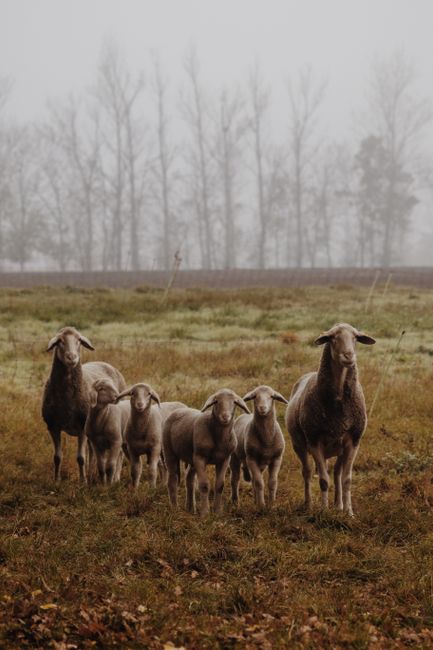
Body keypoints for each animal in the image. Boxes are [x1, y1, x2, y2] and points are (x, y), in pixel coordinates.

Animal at [41, 326, 126, 482]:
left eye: (79, 340)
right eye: (60, 341)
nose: (72, 357)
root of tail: (106, 363)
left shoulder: (81, 427)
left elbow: (81, 458)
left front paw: (82, 481)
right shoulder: (52, 426)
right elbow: (57, 457)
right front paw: (57, 481)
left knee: (119, 452)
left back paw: (115, 477)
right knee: (92, 451)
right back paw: (92, 473)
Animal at [285, 323, 375, 516]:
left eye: (356, 338)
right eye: (333, 338)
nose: (349, 356)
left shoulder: (353, 441)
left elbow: (347, 479)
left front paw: (349, 512)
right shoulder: (314, 441)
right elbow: (323, 481)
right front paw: (324, 511)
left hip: (338, 448)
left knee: (336, 473)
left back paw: (338, 505)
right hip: (299, 444)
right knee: (308, 472)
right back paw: (309, 504)